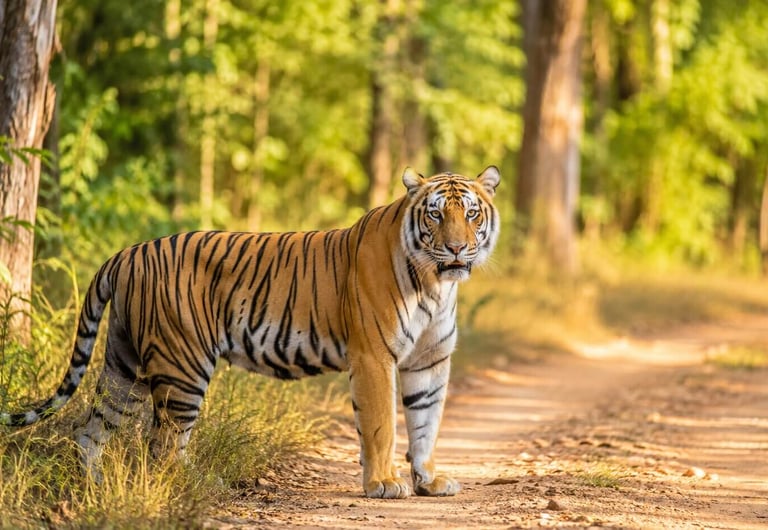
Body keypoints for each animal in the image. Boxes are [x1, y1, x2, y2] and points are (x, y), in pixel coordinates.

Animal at [0, 166, 501, 499]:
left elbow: (426, 421)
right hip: (182, 367)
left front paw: (429, 480)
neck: (436, 283)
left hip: (124, 367)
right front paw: (383, 484)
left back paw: (97, 488)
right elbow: (381, 426)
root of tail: (126, 253)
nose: (457, 249)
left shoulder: (429, 360)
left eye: (472, 214)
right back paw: (197, 484)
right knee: (162, 445)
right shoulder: (374, 356)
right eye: (435, 216)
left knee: (89, 429)